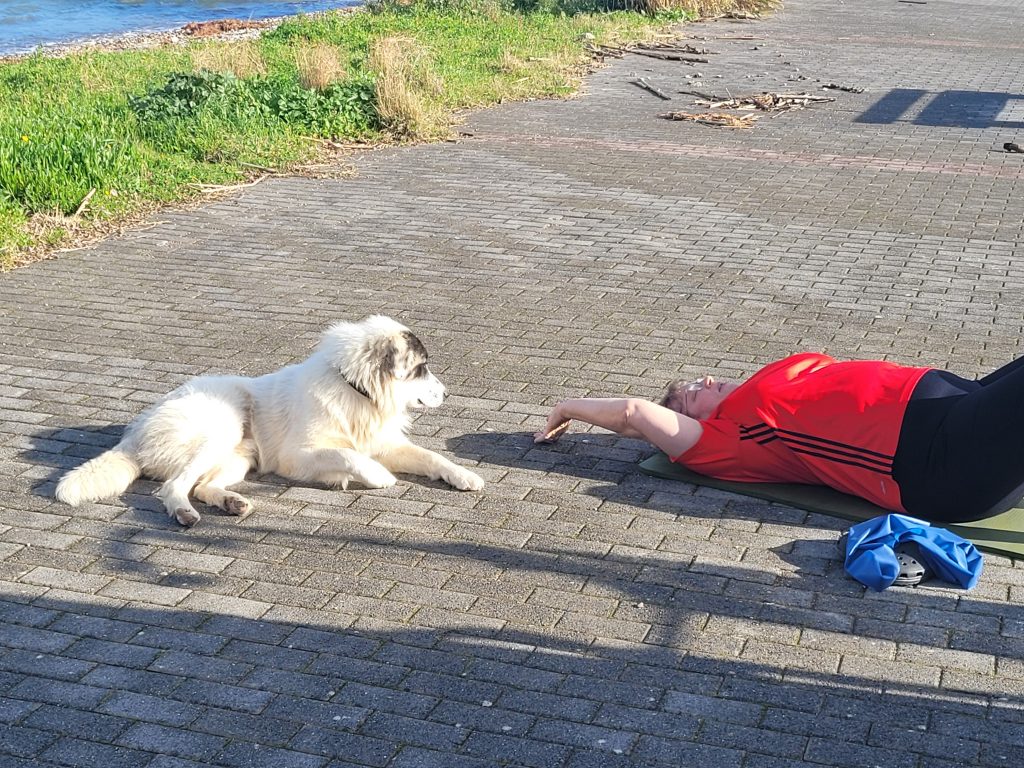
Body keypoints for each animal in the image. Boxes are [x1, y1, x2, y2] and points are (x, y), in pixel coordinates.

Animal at [55, 316, 485, 525]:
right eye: (422, 368)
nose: (447, 394)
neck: (355, 389)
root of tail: (134, 433)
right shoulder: (298, 457)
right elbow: (350, 456)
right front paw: (375, 476)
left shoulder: (386, 443)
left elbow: (432, 457)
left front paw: (464, 475)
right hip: (222, 425)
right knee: (174, 487)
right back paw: (184, 514)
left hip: (238, 457)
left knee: (202, 486)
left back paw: (231, 502)